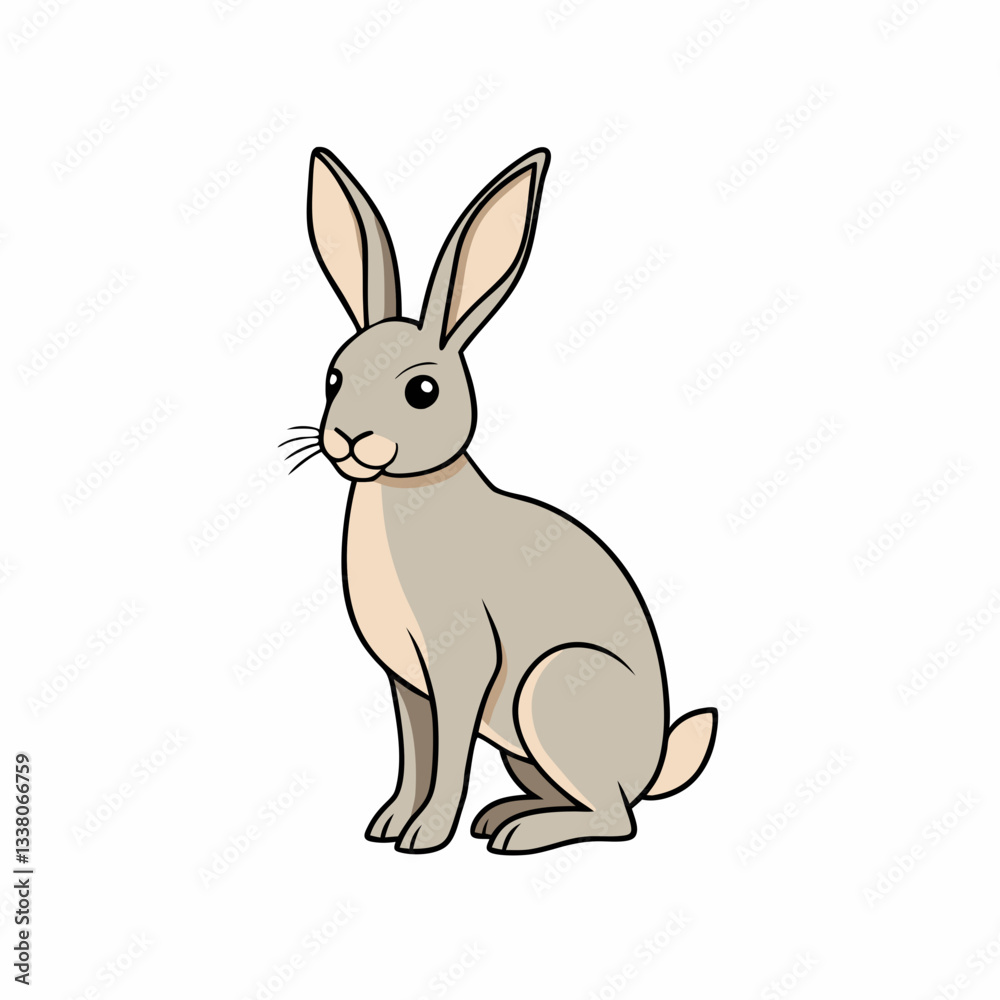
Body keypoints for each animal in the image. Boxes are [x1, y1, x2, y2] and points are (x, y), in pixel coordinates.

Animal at [285, 145, 717, 854]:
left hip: (552, 690)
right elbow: (415, 754)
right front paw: (390, 823)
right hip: (525, 746)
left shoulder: (463, 664)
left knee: (615, 819)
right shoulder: (408, 684)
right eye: (333, 378)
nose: (348, 439)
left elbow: (448, 755)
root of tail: (651, 766)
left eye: (423, 392)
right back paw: (504, 816)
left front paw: (426, 836)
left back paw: (522, 835)